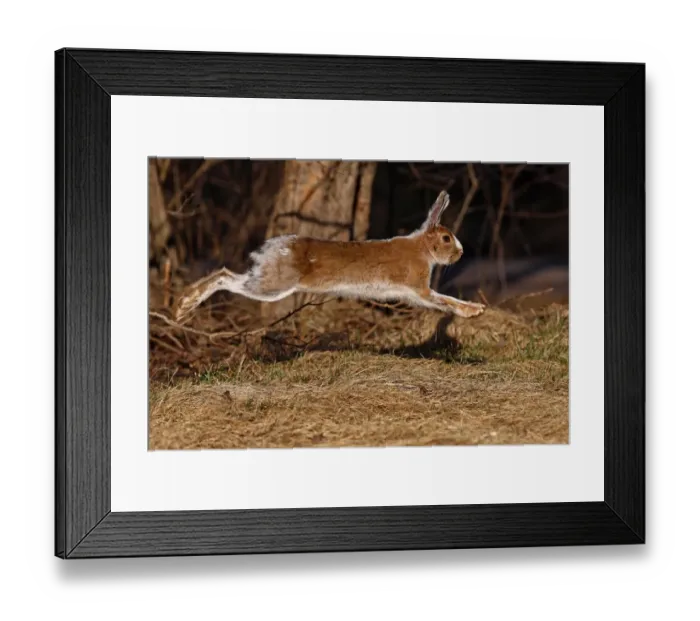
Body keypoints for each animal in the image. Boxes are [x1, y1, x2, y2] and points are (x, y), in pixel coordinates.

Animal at [173, 190, 486, 322]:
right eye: (446, 238)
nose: (460, 252)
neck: (422, 247)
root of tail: (271, 247)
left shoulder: (415, 293)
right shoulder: (419, 288)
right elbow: (445, 300)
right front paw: (474, 311)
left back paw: (181, 305)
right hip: (274, 285)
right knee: (225, 277)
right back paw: (184, 306)